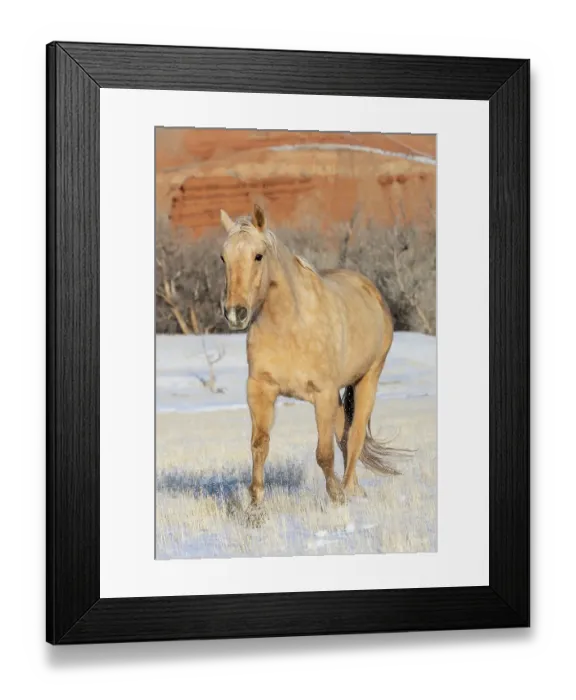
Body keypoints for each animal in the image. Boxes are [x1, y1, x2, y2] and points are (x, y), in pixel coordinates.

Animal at [219, 204, 408, 520]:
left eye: (258, 255)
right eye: (223, 257)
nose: (236, 313)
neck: (290, 325)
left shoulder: (322, 395)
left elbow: (324, 453)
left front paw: (337, 499)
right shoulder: (260, 390)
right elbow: (259, 447)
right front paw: (255, 509)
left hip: (367, 380)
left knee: (354, 437)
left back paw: (349, 491)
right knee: (344, 436)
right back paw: (355, 488)